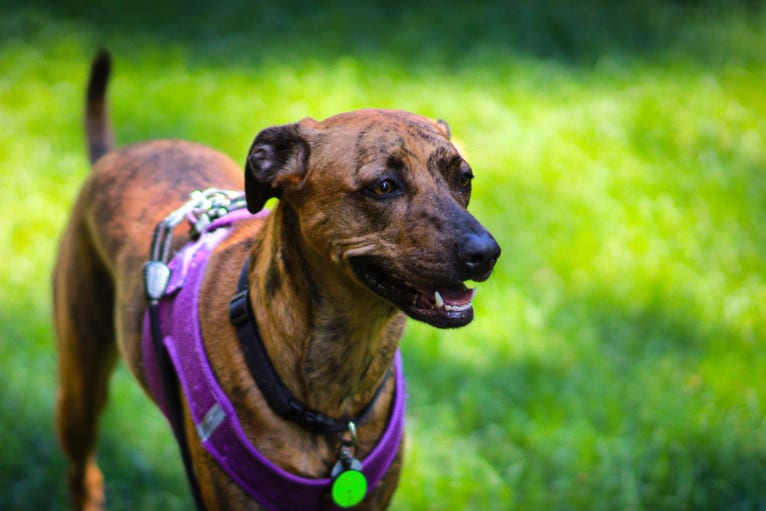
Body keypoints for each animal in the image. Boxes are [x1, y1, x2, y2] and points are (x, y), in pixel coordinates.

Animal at [52, 50, 498, 510]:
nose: (486, 253)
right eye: (384, 186)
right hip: (80, 389)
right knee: (83, 472)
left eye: (464, 179)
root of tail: (116, 154)